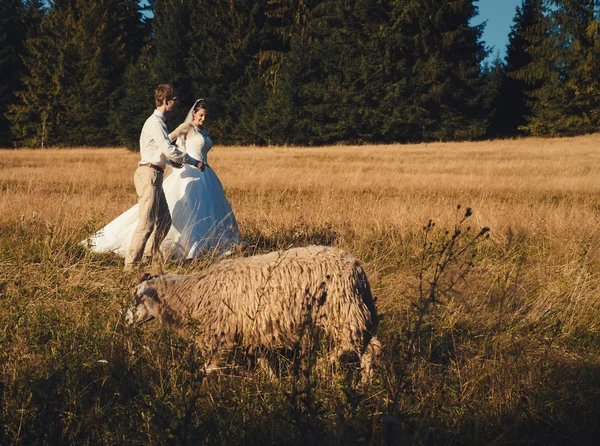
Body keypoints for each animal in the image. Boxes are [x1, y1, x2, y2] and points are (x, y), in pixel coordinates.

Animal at [125, 244, 384, 380]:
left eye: (138, 298)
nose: (126, 321)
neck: (192, 294)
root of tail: (356, 266)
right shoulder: (250, 328)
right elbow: (261, 358)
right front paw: (273, 380)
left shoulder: (221, 334)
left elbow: (211, 366)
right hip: (351, 309)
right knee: (367, 346)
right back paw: (364, 383)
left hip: (342, 309)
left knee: (356, 344)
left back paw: (327, 367)